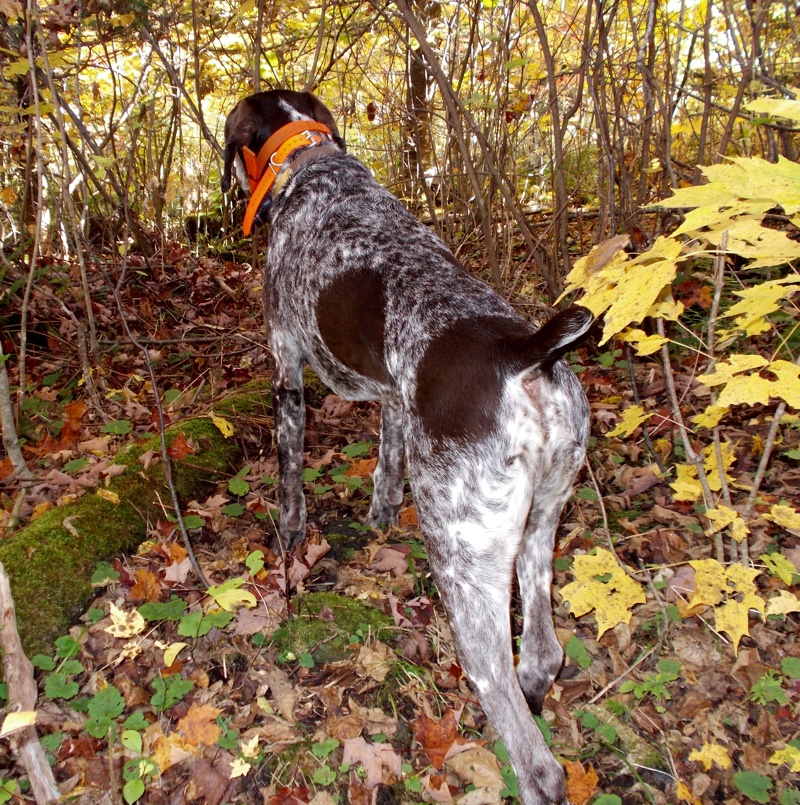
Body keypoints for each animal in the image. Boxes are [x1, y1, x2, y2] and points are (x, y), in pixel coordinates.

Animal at [222, 89, 592, 804]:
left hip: (464, 561)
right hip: (543, 520)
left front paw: (289, 541)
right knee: (542, 652)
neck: (313, 165)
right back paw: (539, 684)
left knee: (529, 744)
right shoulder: (394, 397)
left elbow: (289, 483)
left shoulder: (287, 368)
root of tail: (522, 355)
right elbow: (386, 468)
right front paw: (378, 519)